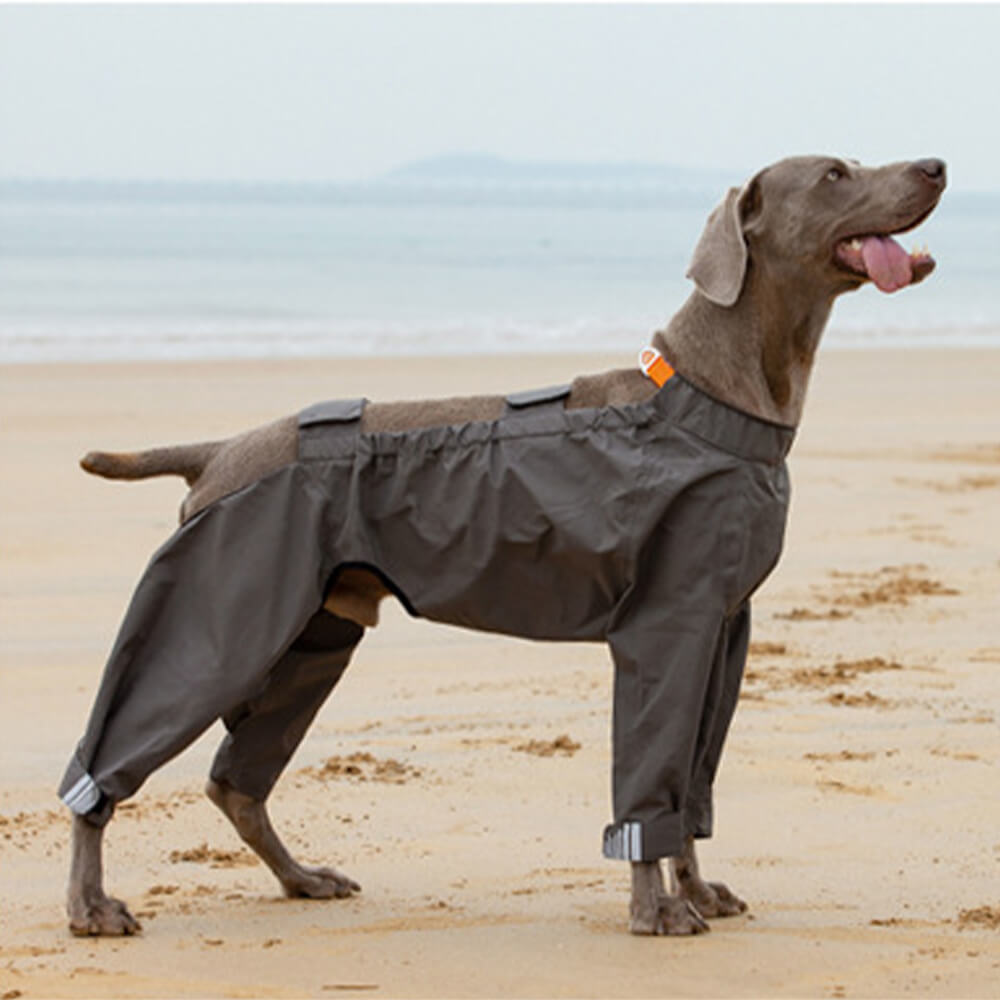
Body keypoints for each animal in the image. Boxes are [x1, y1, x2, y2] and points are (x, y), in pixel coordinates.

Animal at [62, 152, 944, 932]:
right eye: (834, 173)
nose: (936, 165)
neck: (712, 402)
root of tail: (217, 453)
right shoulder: (668, 623)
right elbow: (649, 786)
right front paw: (656, 910)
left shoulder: (725, 629)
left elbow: (691, 787)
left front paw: (697, 892)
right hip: (218, 613)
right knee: (105, 768)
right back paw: (90, 906)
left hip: (314, 631)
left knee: (238, 784)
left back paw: (300, 878)